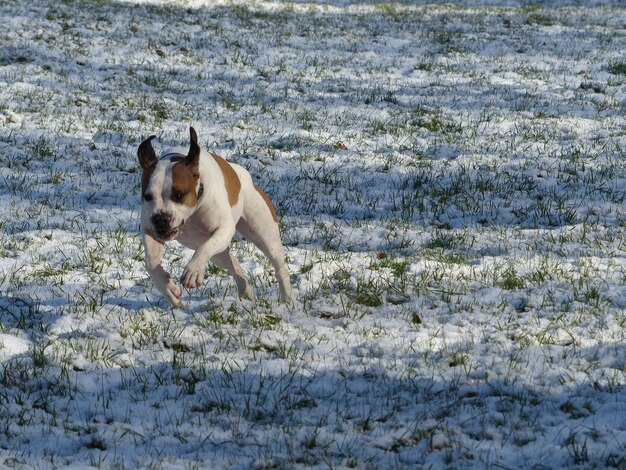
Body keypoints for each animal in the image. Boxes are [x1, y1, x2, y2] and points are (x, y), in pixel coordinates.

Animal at [136, 126, 292, 306]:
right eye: (147, 196)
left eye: (179, 195)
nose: (161, 219)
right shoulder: (150, 230)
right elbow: (151, 262)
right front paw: (169, 290)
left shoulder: (224, 229)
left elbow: (205, 247)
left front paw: (193, 272)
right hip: (218, 253)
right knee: (232, 263)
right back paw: (246, 292)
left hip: (264, 234)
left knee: (279, 265)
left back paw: (288, 299)